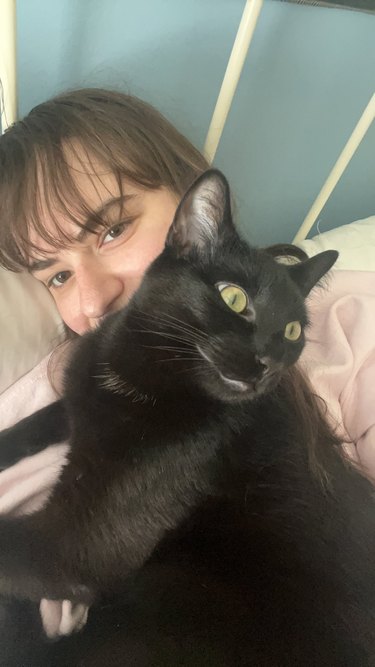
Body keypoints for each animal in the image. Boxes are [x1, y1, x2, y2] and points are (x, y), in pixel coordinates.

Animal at [0, 174, 375, 667]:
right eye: (233, 297)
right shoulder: (78, 398)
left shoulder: (76, 544)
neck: (133, 367)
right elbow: (35, 424)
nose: (268, 362)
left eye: (293, 331)